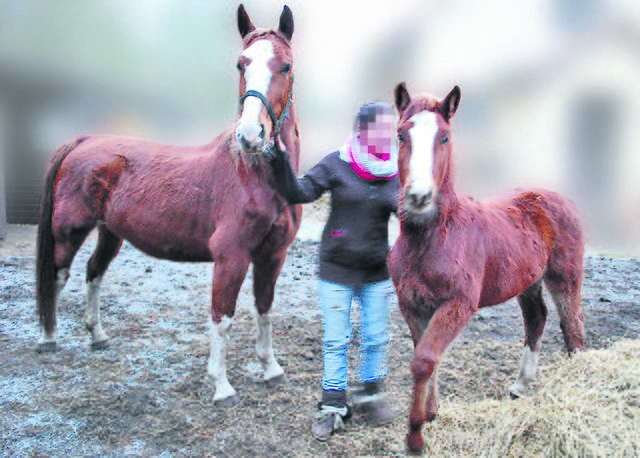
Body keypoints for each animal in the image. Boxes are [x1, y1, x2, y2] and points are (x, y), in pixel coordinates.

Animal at [36, 4, 302, 408]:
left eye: (285, 66)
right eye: (240, 64)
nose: (251, 135)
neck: (254, 173)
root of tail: (84, 140)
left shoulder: (273, 255)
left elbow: (264, 310)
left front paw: (270, 369)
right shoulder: (232, 256)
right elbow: (222, 318)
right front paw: (221, 386)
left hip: (110, 233)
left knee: (93, 273)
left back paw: (97, 336)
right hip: (70, 229)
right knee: (57, 275)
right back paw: (49, 339)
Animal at [388, 83, 588, 450]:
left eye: (445, 137)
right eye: (400, 135)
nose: (419, 197)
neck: (433, 237)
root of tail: (557, 196)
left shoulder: (458, 304)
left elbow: (424, 360)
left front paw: (415, 436)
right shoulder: (411, 303)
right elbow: (424, 355)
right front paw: (431, 412)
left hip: (564, 275)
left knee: (573, 327)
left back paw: (575, 388)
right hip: (528, 280)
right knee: (536, 318)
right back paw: (520, 385)